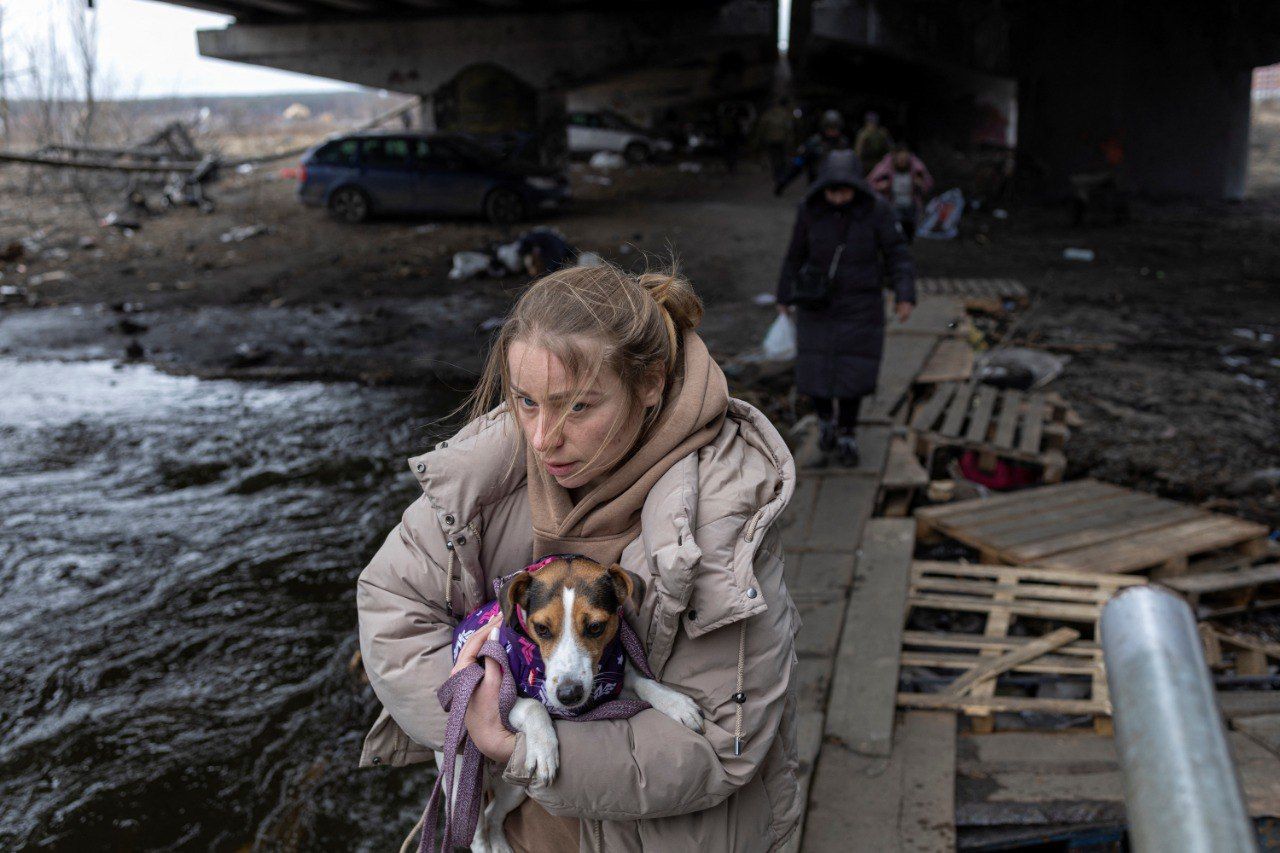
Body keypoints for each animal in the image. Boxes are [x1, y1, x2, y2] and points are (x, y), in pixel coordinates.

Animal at [437, 550, 701, 850]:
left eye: (596, 627)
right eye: (541, 628)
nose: (569, 695)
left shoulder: (607, 683)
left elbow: (643, 683)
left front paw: (676, 703)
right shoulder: (495, 697)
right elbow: (533, 705)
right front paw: (544, 748)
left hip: (517, 786)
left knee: (493, 815)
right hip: (462, 783)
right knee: (475, 832)